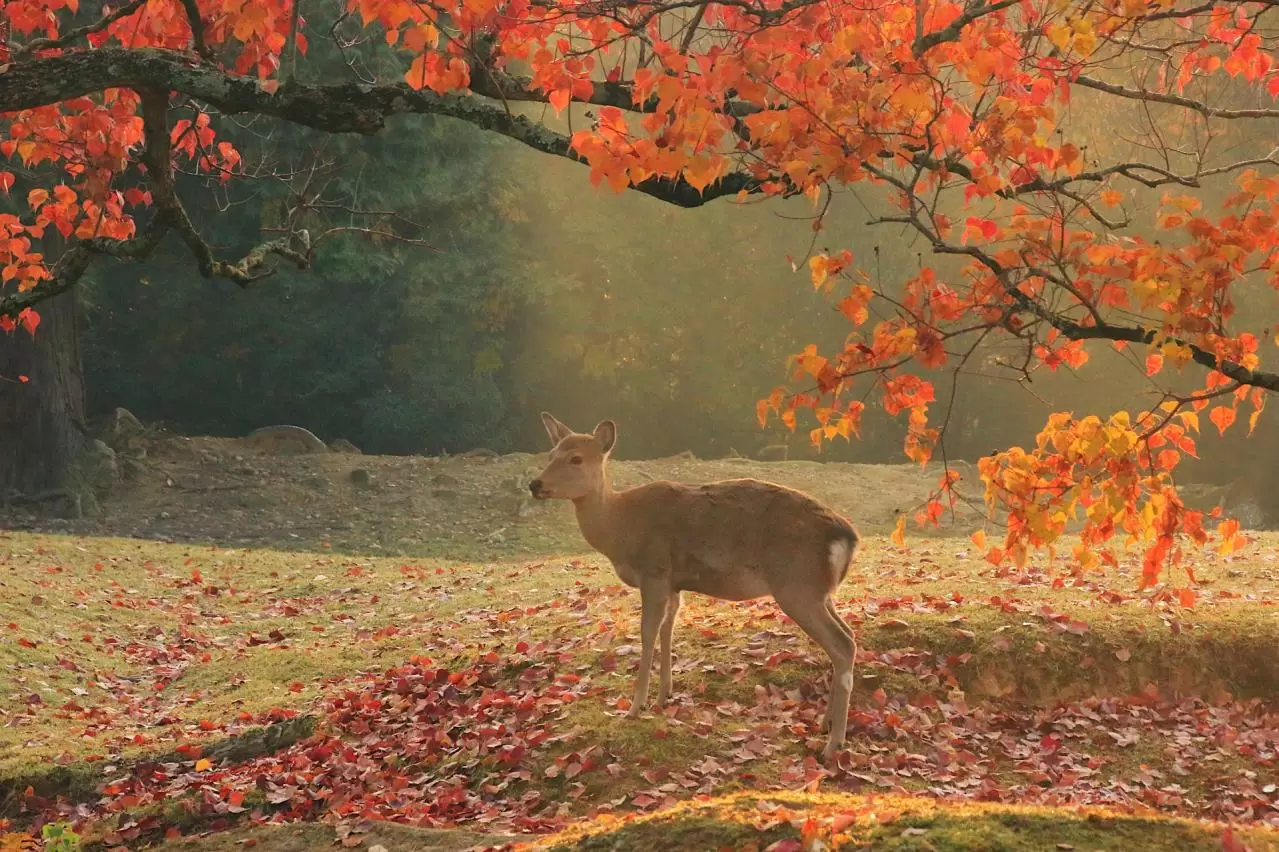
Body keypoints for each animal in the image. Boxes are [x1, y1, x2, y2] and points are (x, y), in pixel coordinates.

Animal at [528, 412, 860, 761]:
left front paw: (635, 707)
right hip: (820, 591)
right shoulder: (674, 583)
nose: (535, 484)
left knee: (842, 644)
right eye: (550, 455)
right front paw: (664, 696)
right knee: (848, 636)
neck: (620, 530)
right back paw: (826, 723)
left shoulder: (655, 570)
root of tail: (848, 536)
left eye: (576, 458)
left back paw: (833, 743)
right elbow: (667, 629)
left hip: (796, 585)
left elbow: (647, 634)